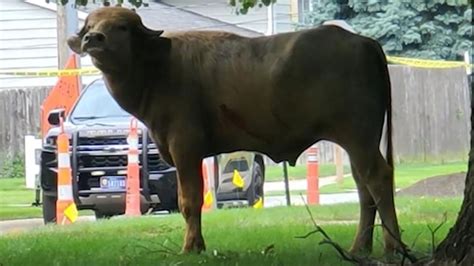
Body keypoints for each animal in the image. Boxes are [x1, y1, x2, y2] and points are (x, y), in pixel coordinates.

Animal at [68, 6, 406, 256]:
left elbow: (189, 200)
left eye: (121, 27)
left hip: (358, 136)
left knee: (378, 178)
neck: (158, 68)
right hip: (356, 141)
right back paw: (360, 247)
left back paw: (393, 246)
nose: (94, 38)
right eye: (91, 24)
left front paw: (192, 247)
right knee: (364, 186)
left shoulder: (185, 147)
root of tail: (363, 42)